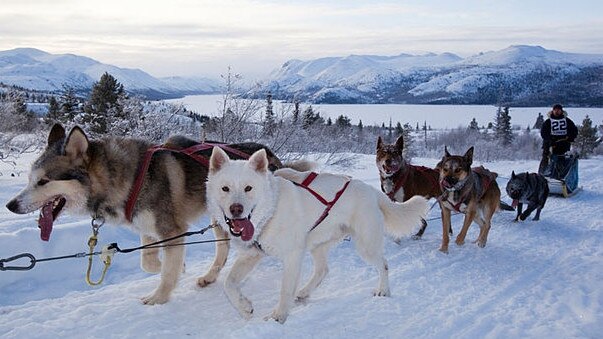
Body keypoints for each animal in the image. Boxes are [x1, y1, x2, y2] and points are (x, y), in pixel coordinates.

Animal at [4, 125, 284, 306]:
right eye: (30, 179)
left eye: (43, 181)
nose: (10, 205)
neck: (127, 179)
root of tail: (267, 151)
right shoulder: (149, 231)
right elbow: (148, 262)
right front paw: (179, 267)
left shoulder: (171, 231)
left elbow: (167, 270)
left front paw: (159, 297)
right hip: (220, 220)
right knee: (222, 249)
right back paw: (209, 277)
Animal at [208, 147, 430, 326]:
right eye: (225, 188)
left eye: (248, 188)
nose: (236, 209)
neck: (271, 211)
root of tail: (372, 191)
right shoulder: (251, 255)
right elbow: (229, 284)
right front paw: (244, 307)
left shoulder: (293, 257)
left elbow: (284, 290)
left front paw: (278, 316)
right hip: (318, 244)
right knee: (323, 270)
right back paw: (304, 292)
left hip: (365, 245)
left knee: (383, 264)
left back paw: (383, 290)